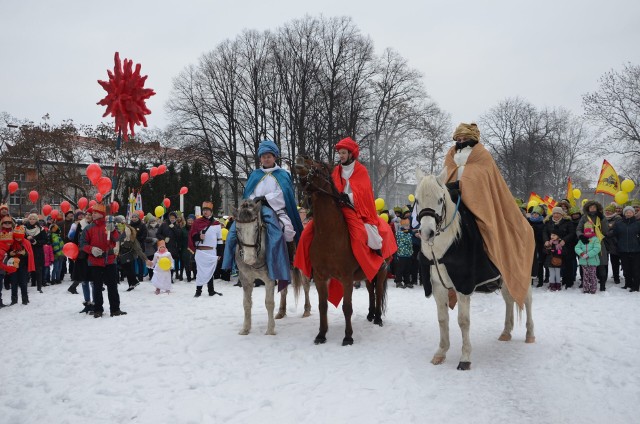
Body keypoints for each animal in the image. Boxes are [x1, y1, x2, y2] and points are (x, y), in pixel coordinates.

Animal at [234, 200, 306, 336]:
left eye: (256, 228)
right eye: (238, 229)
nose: (249, 258)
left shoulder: (269, 279)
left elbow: (269, 302)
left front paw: (270, 329)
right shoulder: (245, 279)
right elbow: (246, 303)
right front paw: (245, 328)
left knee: (306, 287)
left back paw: (307, 311)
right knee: (284, 290)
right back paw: (281, 312)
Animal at [292, 157, 388, 346]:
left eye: (319, 167)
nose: (299, 161)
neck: (329, 234)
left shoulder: (346, 277)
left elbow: (347, 307)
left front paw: (348, 336)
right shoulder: (321, 277)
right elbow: (323, 306)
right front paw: (321, 334)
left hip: (380, 272)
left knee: (379, 291)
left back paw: (378, 318)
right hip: (368, 274)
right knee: (371, 291)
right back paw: (371, 314)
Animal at [416, 172, 536, 372]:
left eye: (440, 199)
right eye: (417, 200)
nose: (427, 232)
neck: (444, 249)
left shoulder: (463, 287)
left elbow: (463, 321)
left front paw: (465, 358)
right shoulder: (438, 287)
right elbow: (442, 319)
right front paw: (441, 353)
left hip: (522, 273)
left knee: (527, 300)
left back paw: (530, 334)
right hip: (505, 278)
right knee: (509, 300)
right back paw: (506, 332)